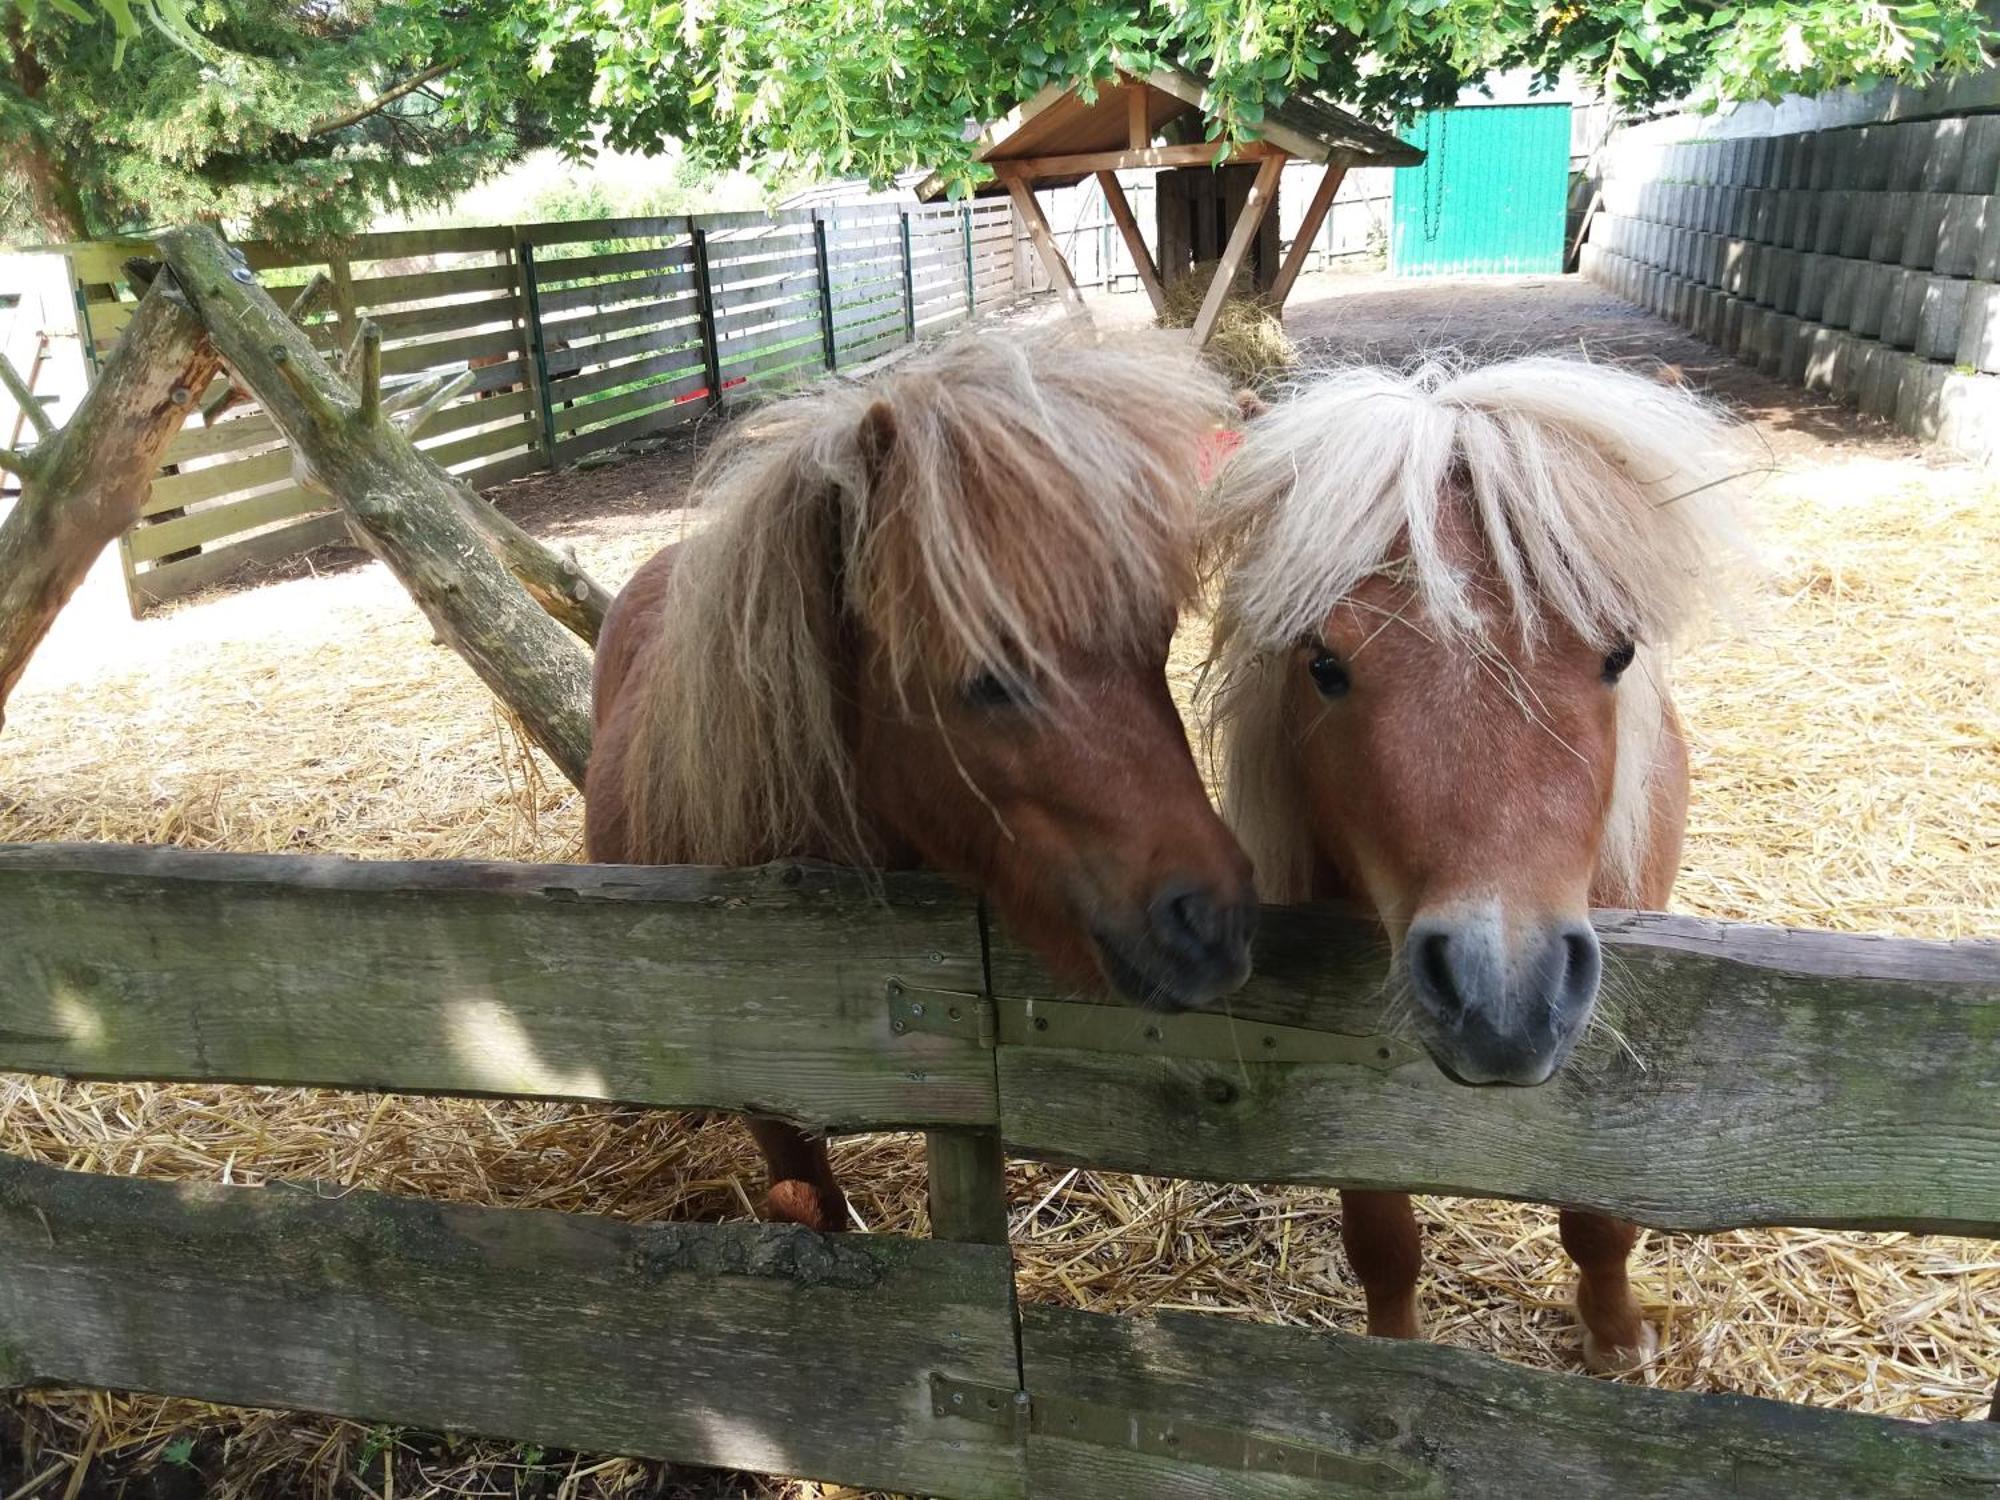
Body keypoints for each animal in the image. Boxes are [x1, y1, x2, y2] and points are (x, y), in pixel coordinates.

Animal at [1200, 352, 1752, 1376]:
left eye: (1618, 652)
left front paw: (1617, 1345)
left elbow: (1600, 1220)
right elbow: (1382, 1238)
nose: (1505, 999)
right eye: (1322, 663)